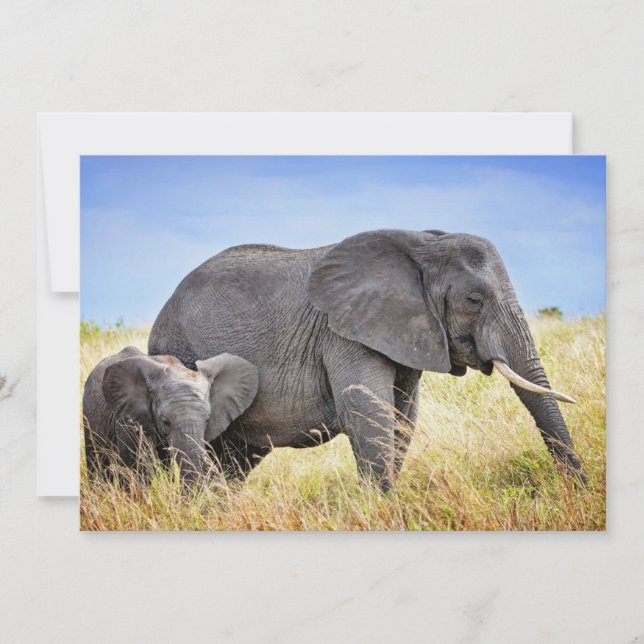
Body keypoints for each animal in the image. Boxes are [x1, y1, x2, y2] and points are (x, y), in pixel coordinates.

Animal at [148, 229, 583, 491]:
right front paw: (383, 507)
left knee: (235, 460)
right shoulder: (343, 334)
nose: (579, 488)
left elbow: (403, 419)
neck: (422, 244)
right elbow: (368, 411)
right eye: (474, 300)